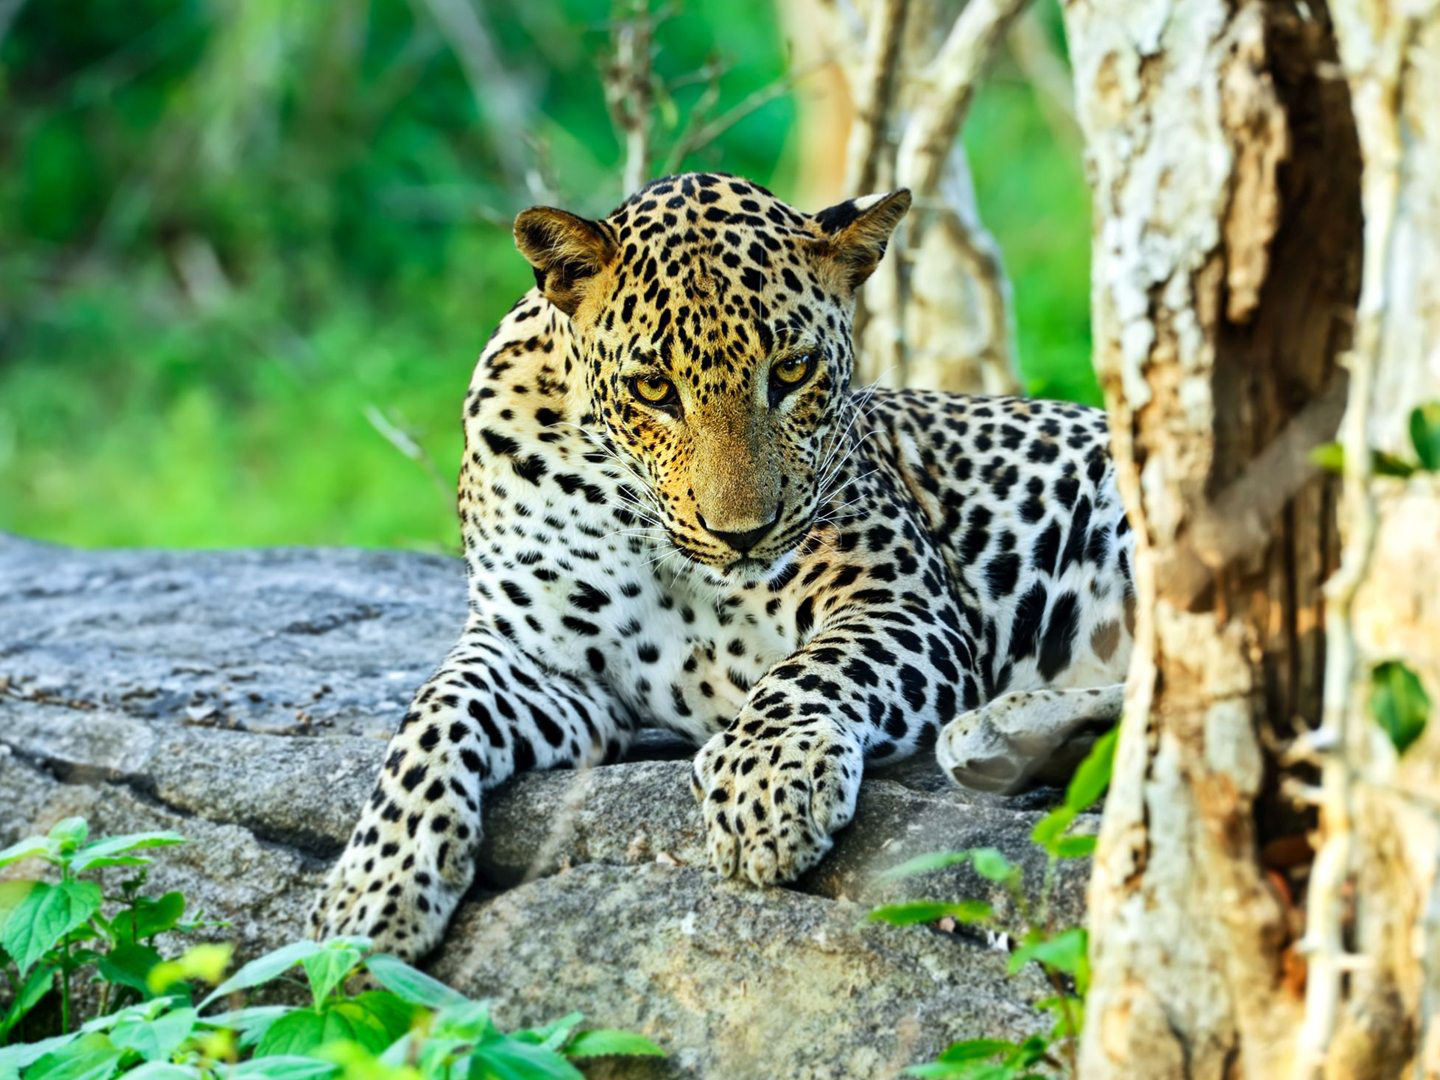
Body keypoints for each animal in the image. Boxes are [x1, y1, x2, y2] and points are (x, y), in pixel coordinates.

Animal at [309, 171, 1128, 961]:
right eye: (652, 388)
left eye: (793, 371)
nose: (743, 534)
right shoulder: (539, 658)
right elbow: (432, 718)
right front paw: (370, 889)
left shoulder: (904, 602)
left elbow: (812, 668)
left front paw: (766, 783)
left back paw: (997, 736)